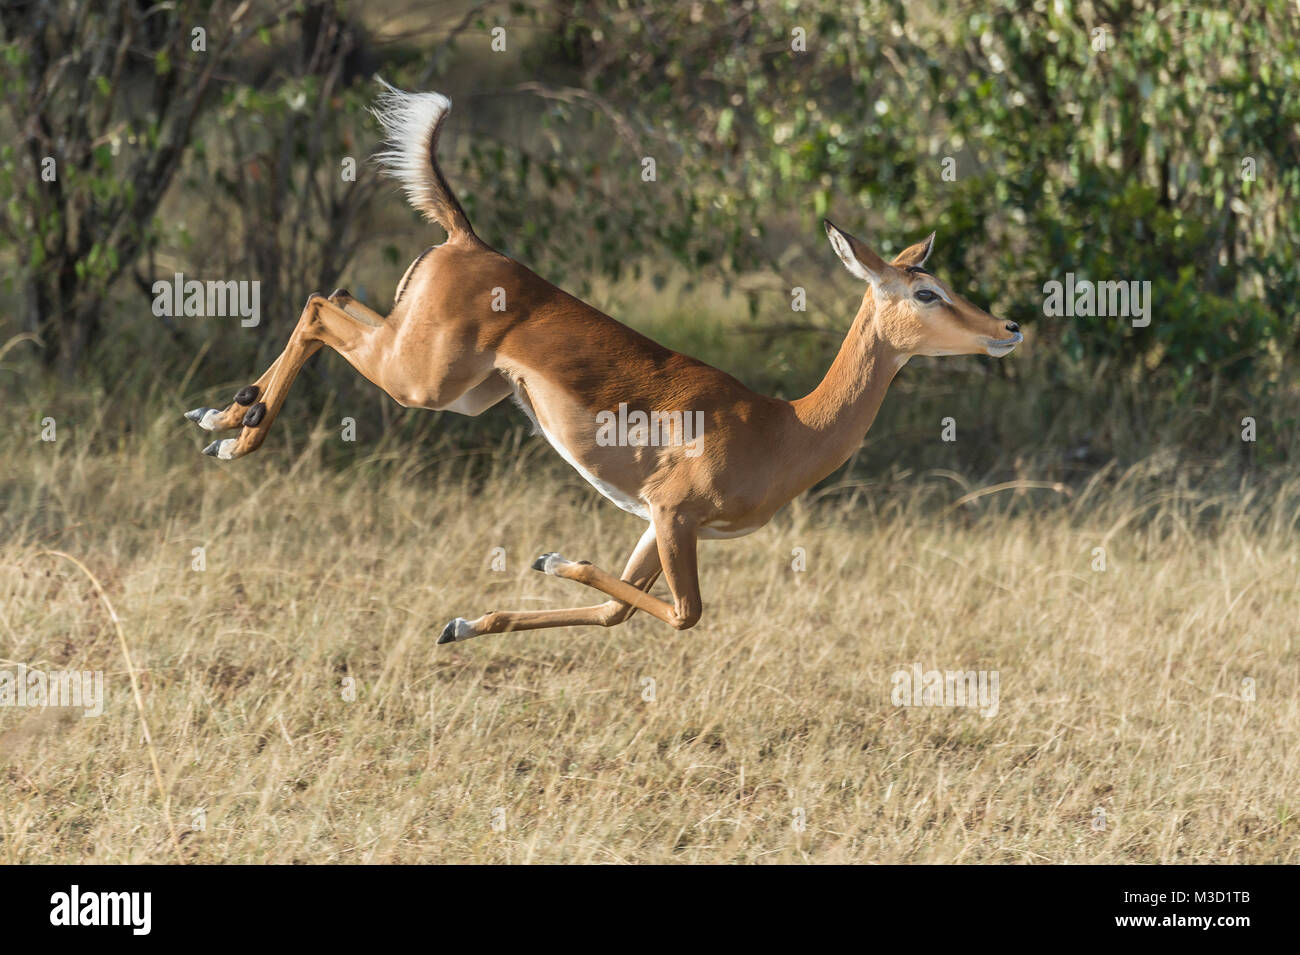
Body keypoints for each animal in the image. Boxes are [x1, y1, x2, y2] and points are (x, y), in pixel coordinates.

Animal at [183, 82, 1019, 647]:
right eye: (927, 290)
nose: (1007, 326)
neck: (787, 428)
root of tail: (467, 238)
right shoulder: (675, 513)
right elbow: (683, 613)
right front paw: (550, 555)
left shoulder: (655, 520)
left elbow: (622, 609)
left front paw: (463, 622)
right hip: (421, 380)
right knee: (317, 306)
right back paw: (232, 429)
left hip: (456, 386)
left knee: (334, 295)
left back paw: (224, 418)